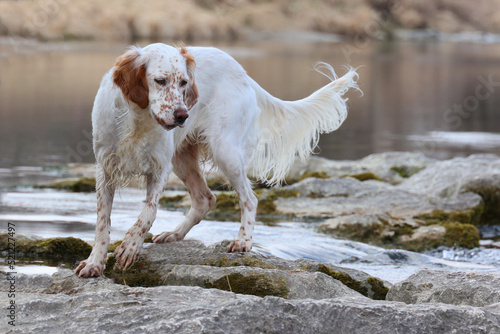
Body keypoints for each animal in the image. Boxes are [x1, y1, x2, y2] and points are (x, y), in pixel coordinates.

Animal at [74, 42, 358, 276]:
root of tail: (243, 73)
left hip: (225, 151)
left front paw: (130, 246)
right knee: (205, 199)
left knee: (249, 199)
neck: (137, 121)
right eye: (160, 81)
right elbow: (102, 223)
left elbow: (148, 213)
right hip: (183, 159)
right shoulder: (105, 170)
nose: (182, 116)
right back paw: (175, 234)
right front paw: (95, 263)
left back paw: (243, 242)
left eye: (184, 83)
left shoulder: (160, 168)